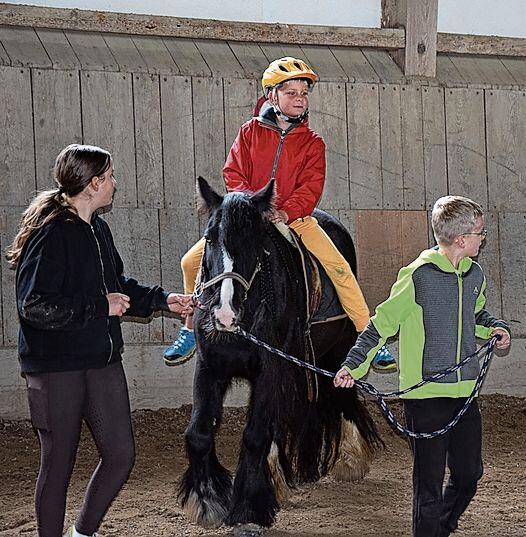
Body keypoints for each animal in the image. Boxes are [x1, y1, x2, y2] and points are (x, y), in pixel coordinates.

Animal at [179, 178, 382, 532]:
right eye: (210, 238)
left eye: (256, 241)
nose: (225, 314)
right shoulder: (210, 367)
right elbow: (200, 434)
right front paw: (207, 501)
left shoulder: (270, 368)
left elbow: (254, 435)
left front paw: (248, 508)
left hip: (335, 353)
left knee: (343, 397)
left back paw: (351, 458)